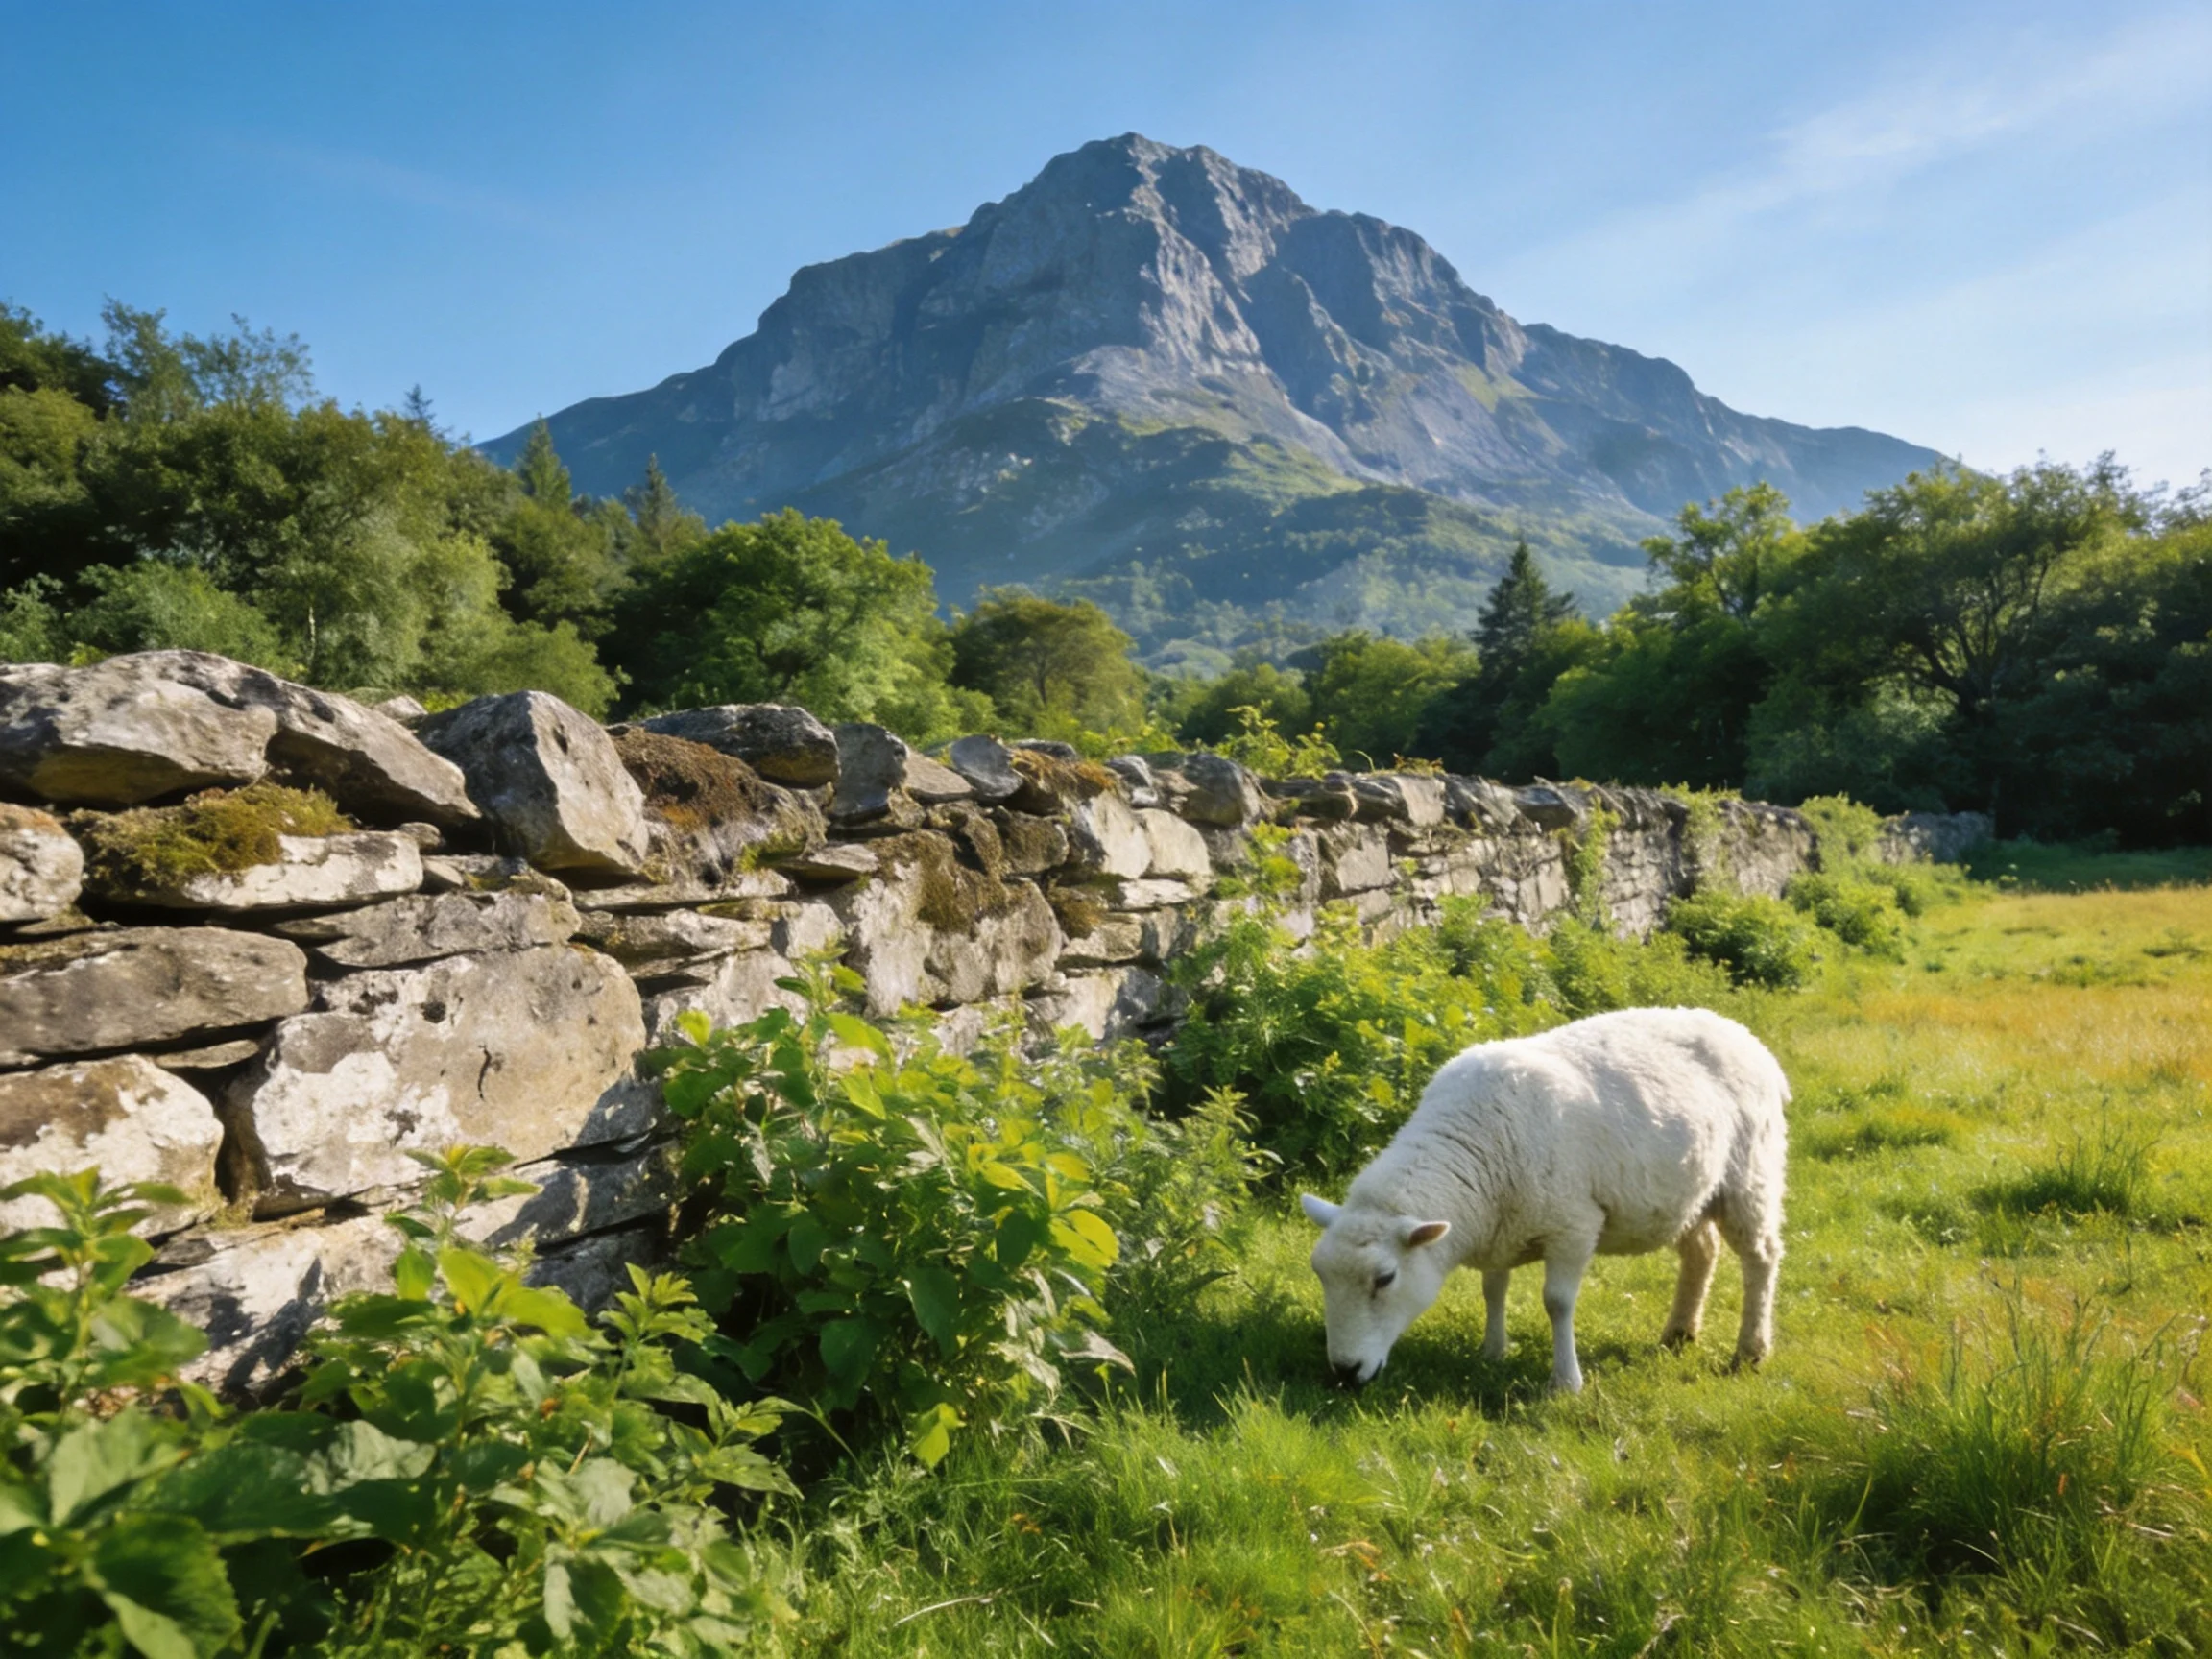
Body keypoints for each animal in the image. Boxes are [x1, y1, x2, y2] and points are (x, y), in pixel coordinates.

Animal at [1301, 1006, 1788, 1394]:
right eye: (1320, 1275)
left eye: (1385, 1279)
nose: (1344, 1372)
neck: (1476, 1143)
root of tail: (1737, 1030)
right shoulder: (1499, 1225)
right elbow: (1493, 1289)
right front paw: (1492, 1350)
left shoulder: (1573, 1225)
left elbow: (1557, 1303)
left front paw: (1565, 1382)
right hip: (1691, 1192)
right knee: (1701, 1251)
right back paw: (1679, 1333)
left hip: (1750, 1175)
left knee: (1761, 1257)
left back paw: (1750, 1350)